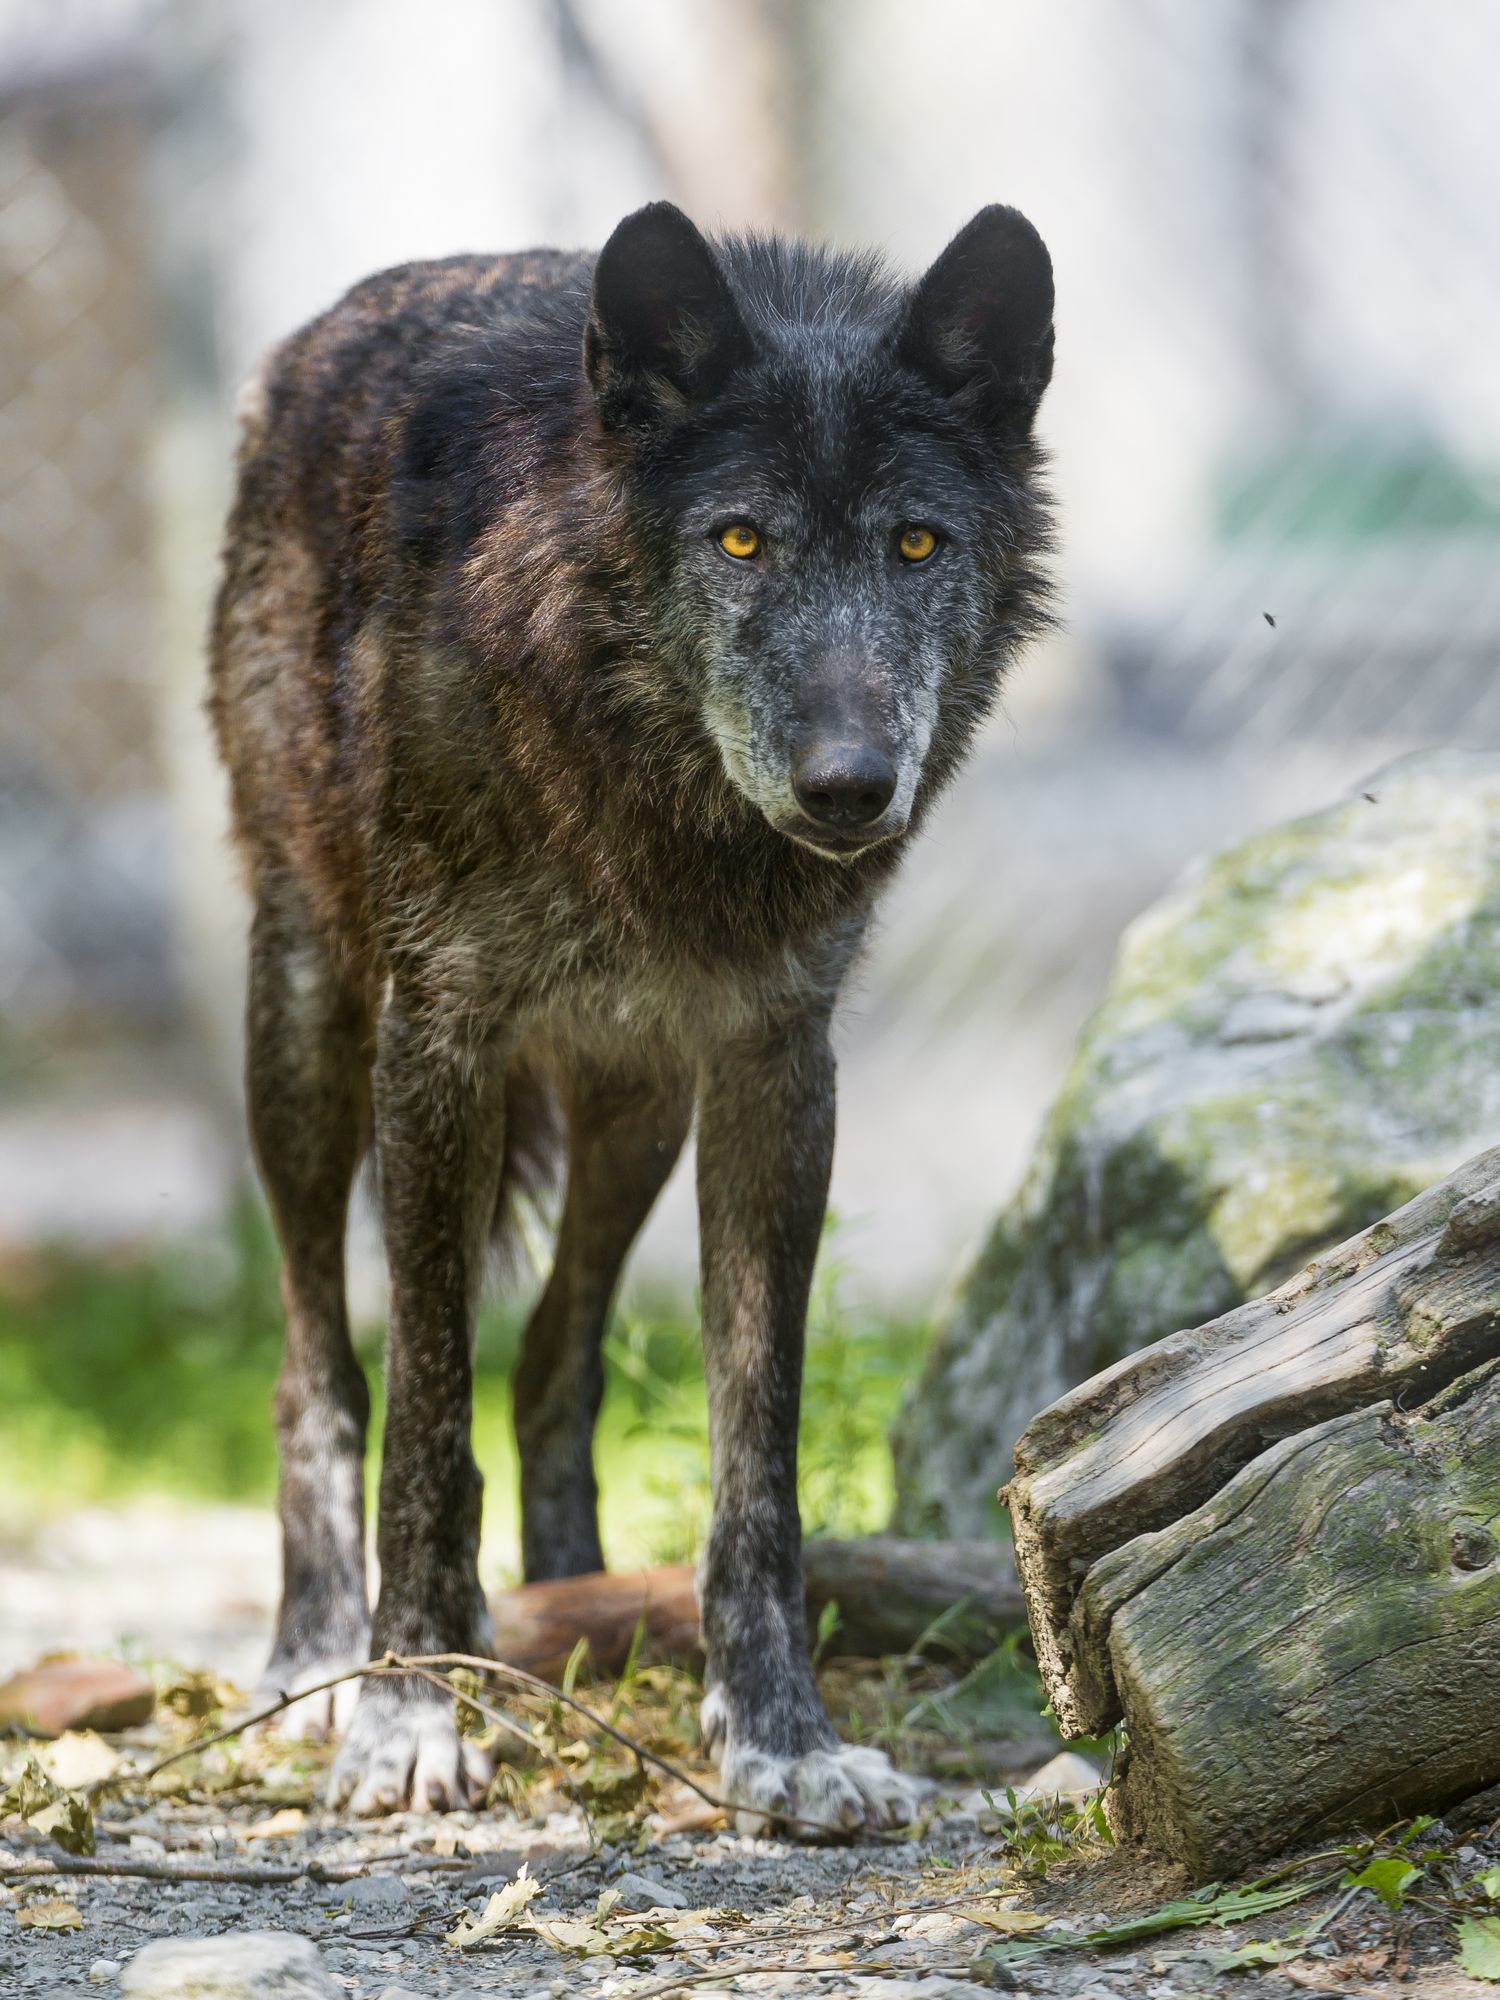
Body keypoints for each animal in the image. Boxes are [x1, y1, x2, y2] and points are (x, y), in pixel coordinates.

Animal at [209, 195, 1056, 1832]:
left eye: (918, 543)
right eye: (739, 539)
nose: (850, 788)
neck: (645, 792)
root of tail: (313, 338)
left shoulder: (774, 1071)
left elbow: (755, 1452)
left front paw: (779, 1737)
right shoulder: (438, 1046)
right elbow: (421, 1419)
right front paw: (407, 1715)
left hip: (633, 1103)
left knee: (554, 1362)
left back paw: (568, 1616)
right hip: (306, 1022)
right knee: (313, 1367)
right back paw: (320, 1655)